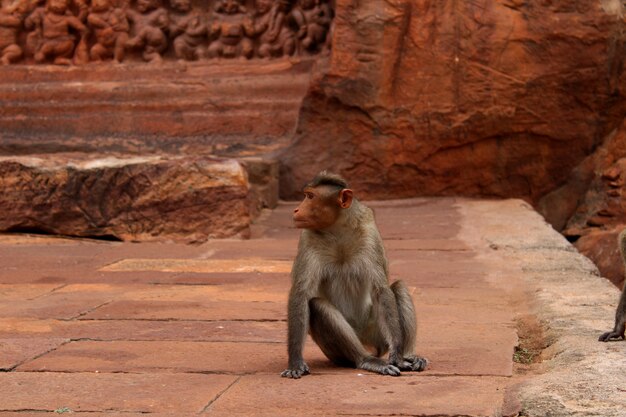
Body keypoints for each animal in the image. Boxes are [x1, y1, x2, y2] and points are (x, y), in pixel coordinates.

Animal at [280, 171, 426, 378]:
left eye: (310, 196)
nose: (296, 210)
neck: (337, 229)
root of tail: (370, 347)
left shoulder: (369, 231)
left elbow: (381, 290)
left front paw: (398, 356)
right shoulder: (307, 238)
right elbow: (300, 293)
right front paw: (295, 362)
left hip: (377, 333)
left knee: (398, 287)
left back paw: (408, 355)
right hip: (337, 352)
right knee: (317, 306)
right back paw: (366, 360)